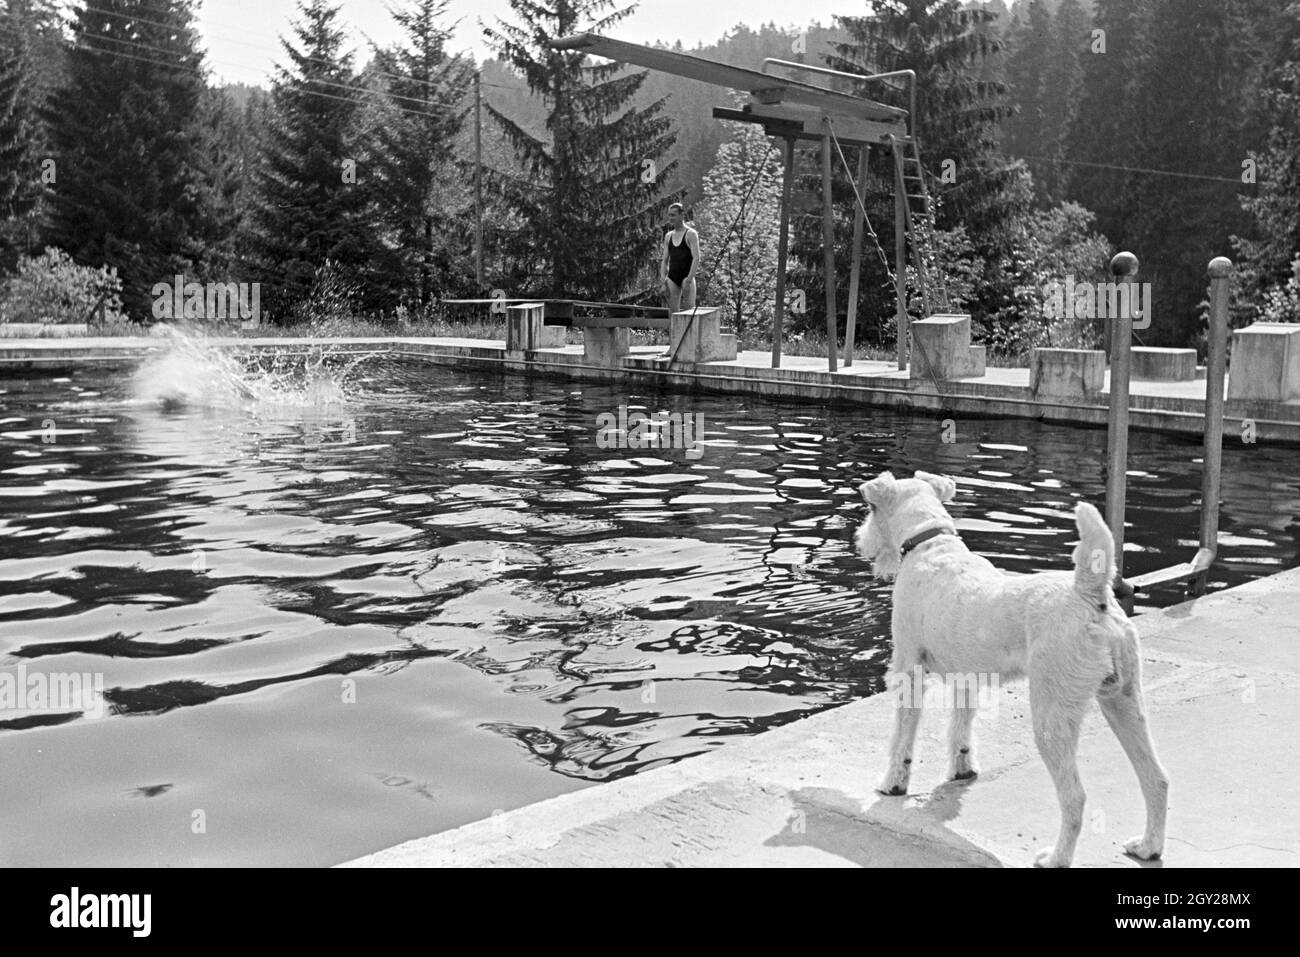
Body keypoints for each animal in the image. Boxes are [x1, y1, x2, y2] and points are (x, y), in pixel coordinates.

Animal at [852, 470, 1170, 868]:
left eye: (870, 507)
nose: (860, 541)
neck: (930, 543)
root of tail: (1091, 597)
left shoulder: (908, 670)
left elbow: (902, 736)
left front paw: (893, 783)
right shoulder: (967, 678)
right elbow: (960, 727)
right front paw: (962, 770)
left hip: (1053, 717)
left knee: (1075, 797)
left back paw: (1055, 858)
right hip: (1123, 700)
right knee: (1156, 779)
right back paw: (1148, 846)